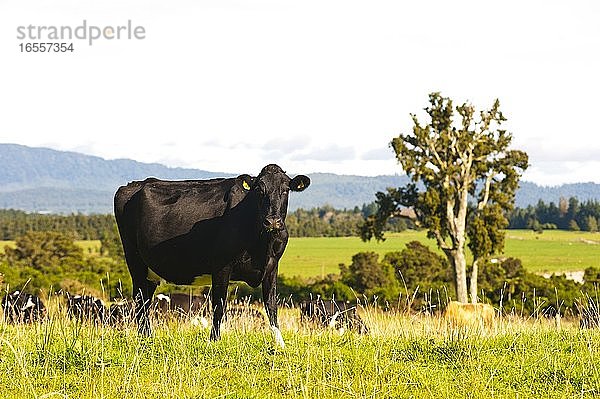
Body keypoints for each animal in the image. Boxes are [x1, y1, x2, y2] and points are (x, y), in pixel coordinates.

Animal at [115, 163, 310, 346]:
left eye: (286, 189)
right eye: (259, 190)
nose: (273, 221)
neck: (262, 244)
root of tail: (133, 185)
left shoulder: (271, 266)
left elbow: (271, 305)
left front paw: (279, 343)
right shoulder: (222, 266)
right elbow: (219, 305)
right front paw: (214, 341)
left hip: (150, 271)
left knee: (145, 301)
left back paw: (147, 337)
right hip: (135, 260)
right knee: (139, 301)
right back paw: (144, 339)